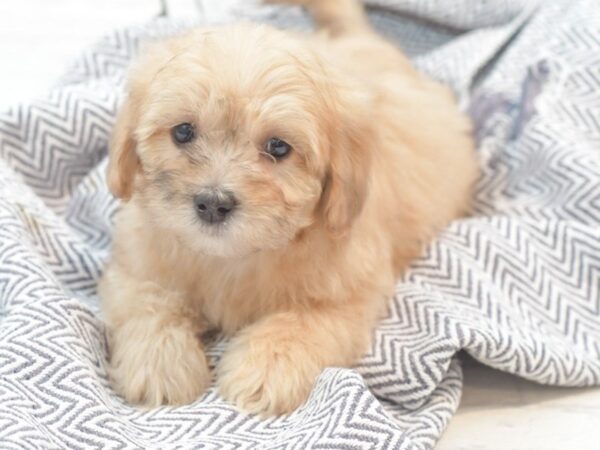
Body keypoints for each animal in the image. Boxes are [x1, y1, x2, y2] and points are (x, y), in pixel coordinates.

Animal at [98, 0, 478, 414]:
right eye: (183, 131)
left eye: (278, 147)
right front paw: (159, 363)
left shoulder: (346, 295)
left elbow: (300, 324)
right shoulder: (137, 265)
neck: (232, 260)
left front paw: (266, 368)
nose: (213, 203)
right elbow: (148, 303)